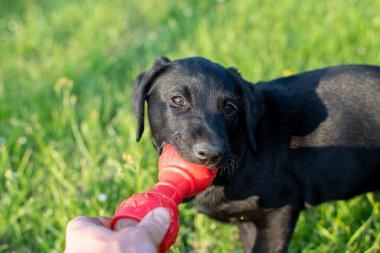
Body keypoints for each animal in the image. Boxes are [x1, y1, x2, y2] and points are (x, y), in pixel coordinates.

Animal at [131, 56, 380, 252]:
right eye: (178, 100)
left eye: (230, 108)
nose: (212, 154)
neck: (242, 149)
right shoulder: (247, 221)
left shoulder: (280, 210)